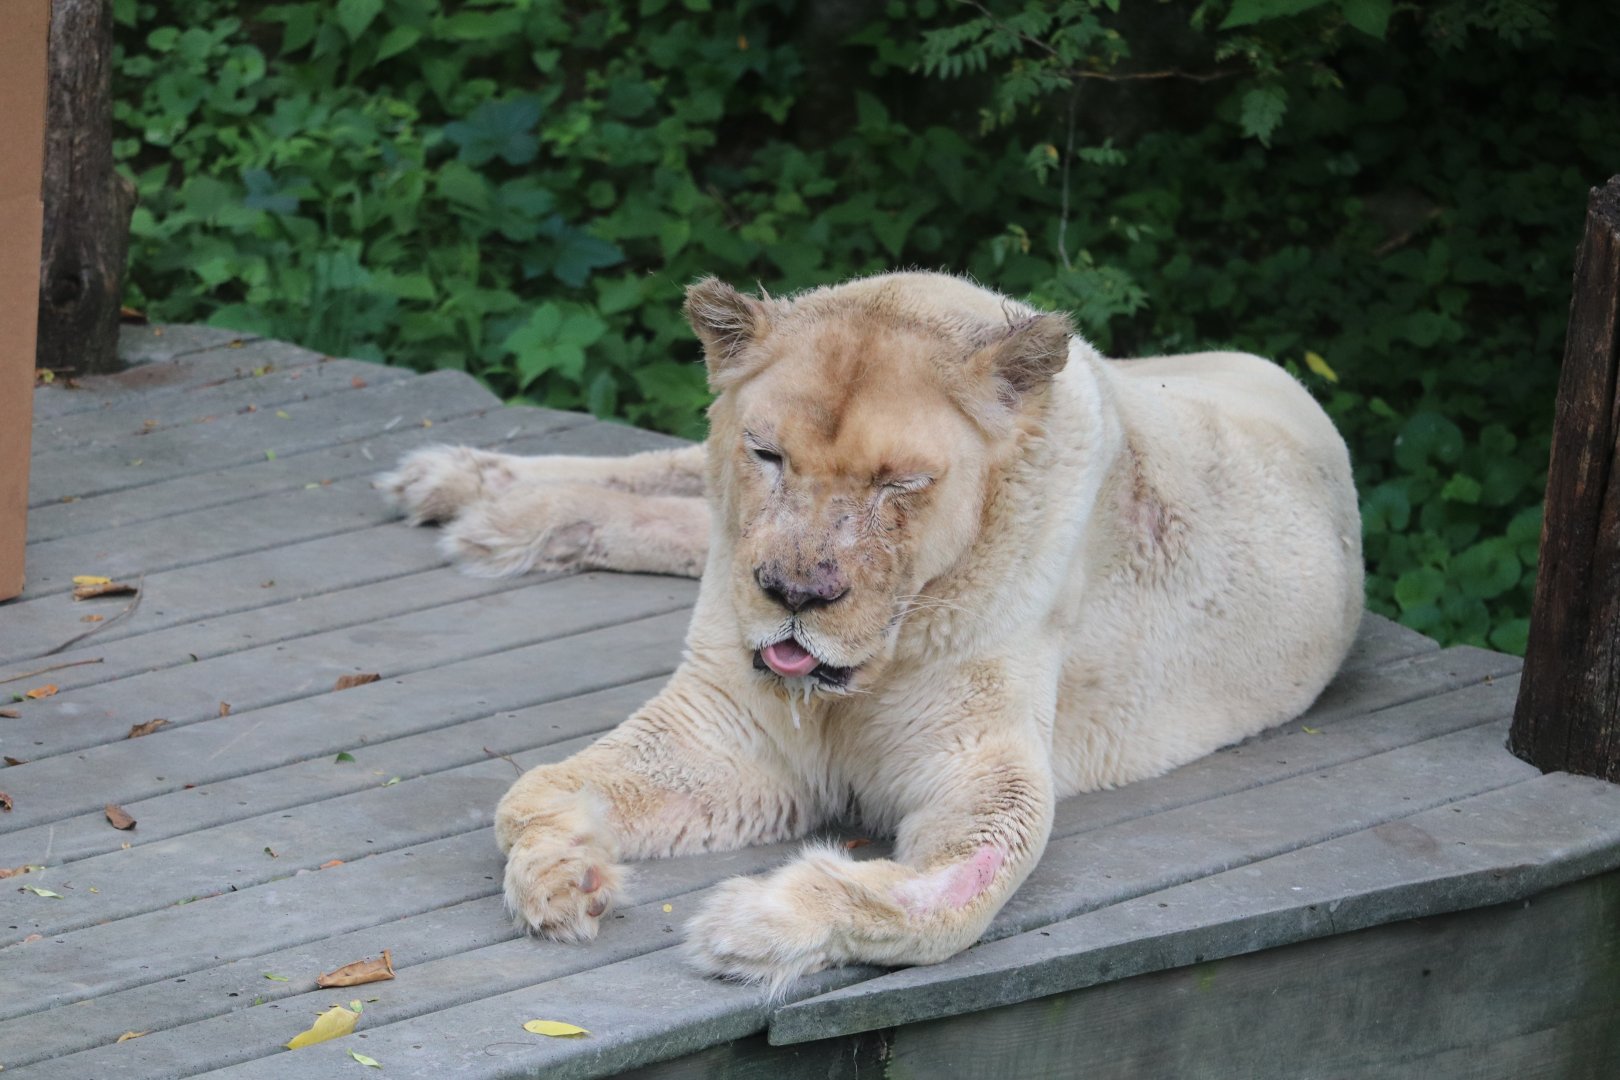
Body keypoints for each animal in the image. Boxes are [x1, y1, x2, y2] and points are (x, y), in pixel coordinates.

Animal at [377, 271, 1364, 993]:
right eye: (768, 454)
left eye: (901, 484)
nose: (792, 592)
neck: (869, 667)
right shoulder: (728, 725)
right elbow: (527, 794)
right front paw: (565, 877)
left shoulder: (981, 762)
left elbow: (950, 897)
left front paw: (751, 927)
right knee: (660, 471)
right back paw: (463, 485)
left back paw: (491, 515)